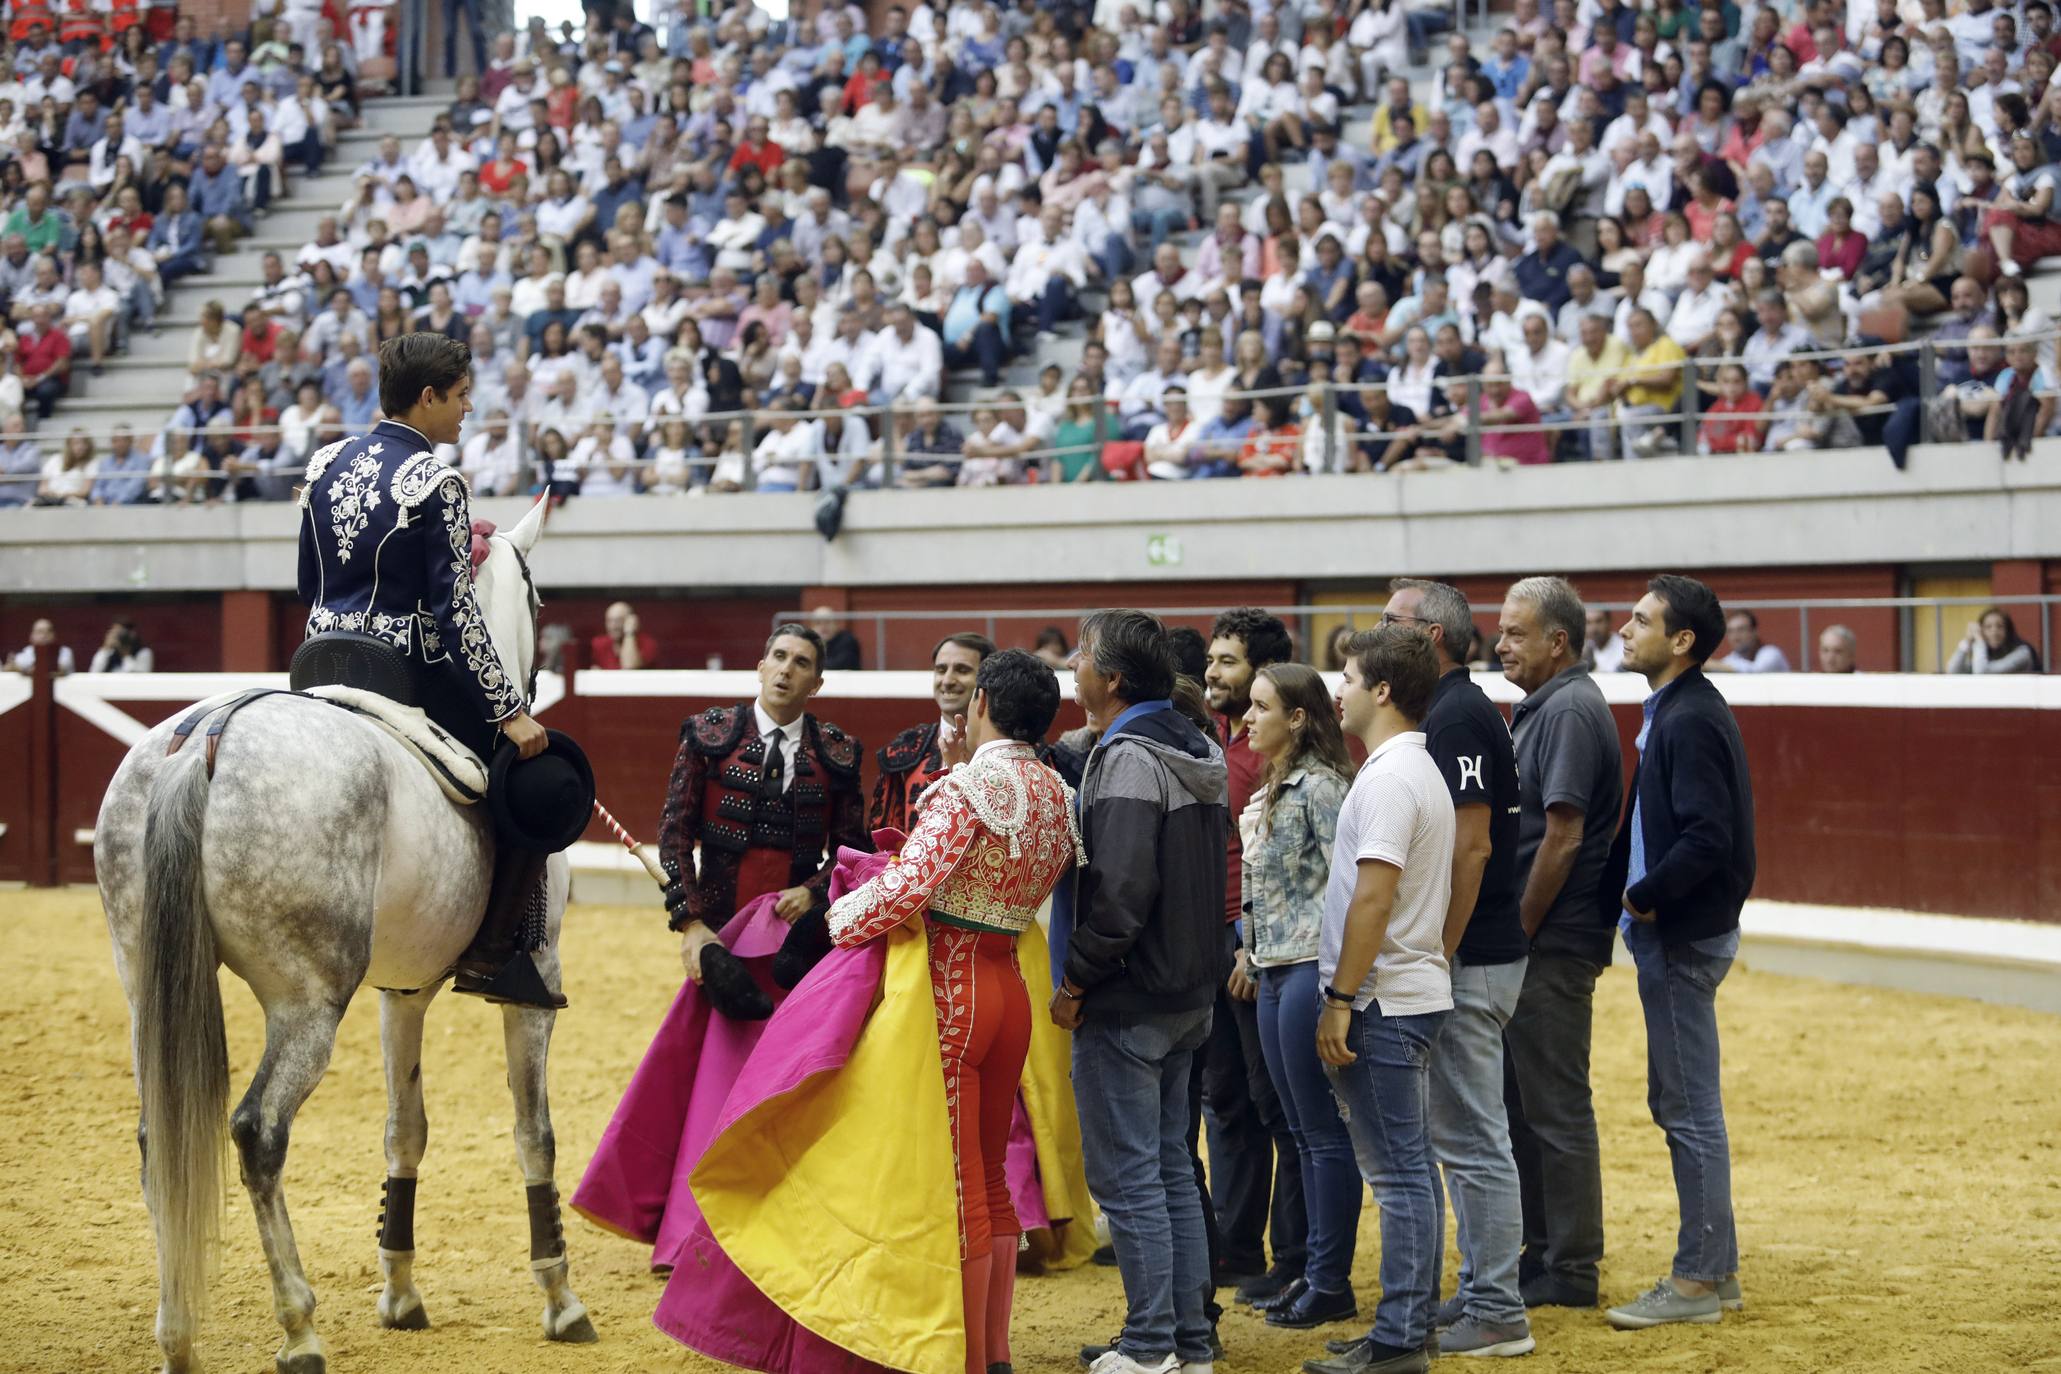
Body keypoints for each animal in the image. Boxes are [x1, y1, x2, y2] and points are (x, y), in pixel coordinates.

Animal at [96, 496, 597, 1374]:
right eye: (540, 600)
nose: (531, 704)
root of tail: (205, 746)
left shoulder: (404, 990)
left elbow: (406, 1130)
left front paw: (399, 1292)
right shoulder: (535, 987)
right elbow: (535, 1135)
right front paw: (560, 1298)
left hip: (143, 986)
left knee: (162, 1138)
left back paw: (178, 1332)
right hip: (307, 1004)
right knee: (258, 1132)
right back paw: (298, 1328)